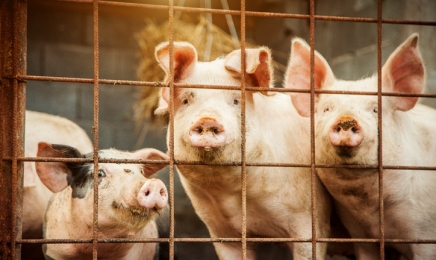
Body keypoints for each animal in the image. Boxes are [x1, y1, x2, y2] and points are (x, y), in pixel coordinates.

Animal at [284, 34, 436, 260]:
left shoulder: (425, 232)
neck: (371, 210)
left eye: (375, 109)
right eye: (327, 109)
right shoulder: (359, 234)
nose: (346, 119)